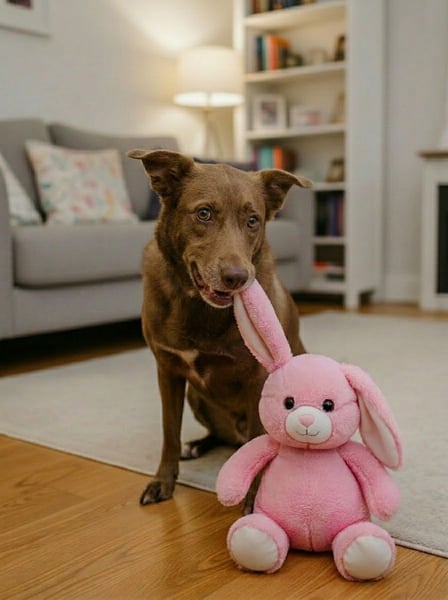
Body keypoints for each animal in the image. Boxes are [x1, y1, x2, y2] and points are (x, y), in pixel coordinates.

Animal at [127, 149, 311, 506]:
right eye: (204, 213)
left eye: (253, 220)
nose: (237, 277)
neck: (199, 305)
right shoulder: (167, 370)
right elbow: (169, 432)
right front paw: (163, 481)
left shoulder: (258, 378)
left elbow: (258, 441)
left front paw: (254, 500)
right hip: (196, 397)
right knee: (219, 436)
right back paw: (197, 445)